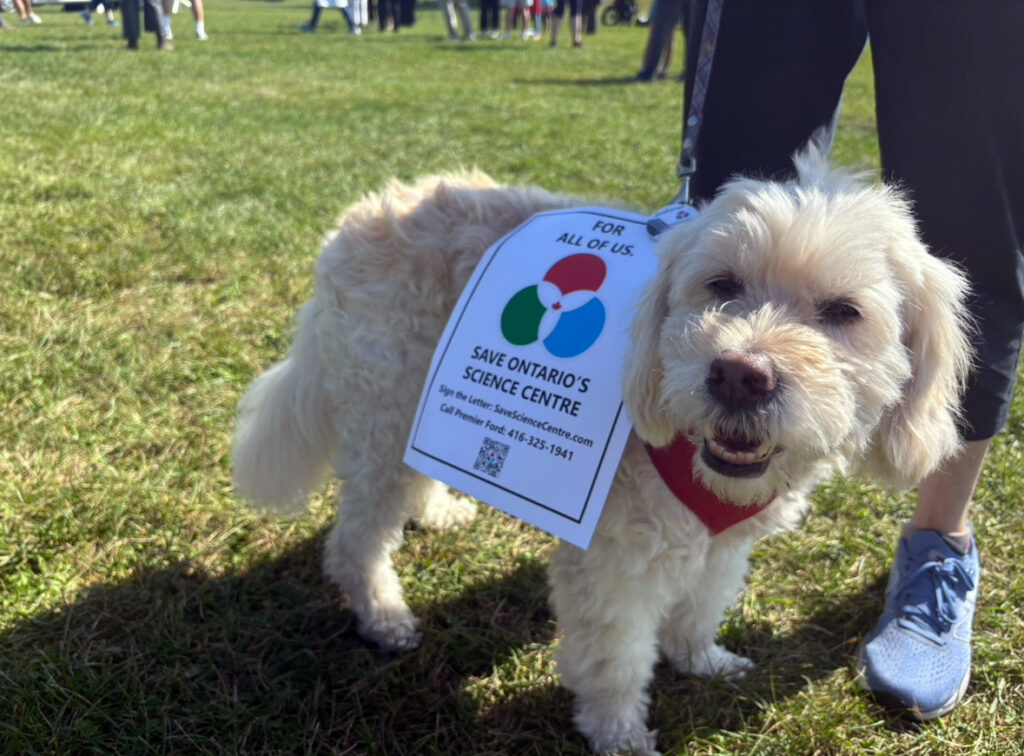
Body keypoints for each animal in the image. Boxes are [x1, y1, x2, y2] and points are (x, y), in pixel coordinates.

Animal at [230, 144, 966, 749]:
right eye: (722, 285)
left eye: (844, 312)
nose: (738, 374)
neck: (691, 459)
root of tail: (360, 213)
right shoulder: (614, 565)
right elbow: (617, 660)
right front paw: (620, 734)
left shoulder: (723, 542)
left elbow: (702, 604)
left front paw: (700, 659)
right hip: (385, 413)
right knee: (355, 540)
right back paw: (383, 614)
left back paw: (436, 512)